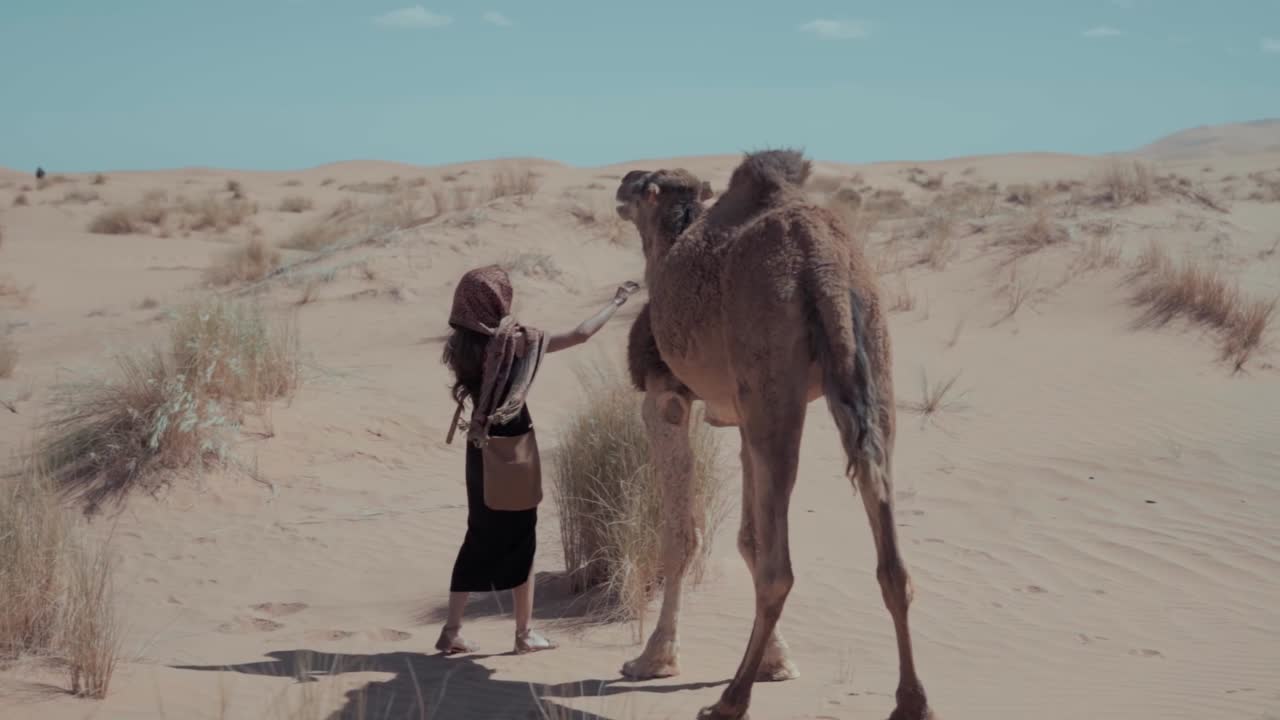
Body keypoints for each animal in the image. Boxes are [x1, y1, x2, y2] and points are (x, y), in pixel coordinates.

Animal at [614, 149, 935, 720]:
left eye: (645, 183)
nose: (621, 184)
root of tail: (821, 264)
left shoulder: (664, 396)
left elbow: (682, 533)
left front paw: (654, 658)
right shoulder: (742, 414)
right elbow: (748, 536)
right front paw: (776, 662)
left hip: (773, 367)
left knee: (778, 568)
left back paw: (729, 700)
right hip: (869, 360)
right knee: (888, 544)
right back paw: (912, 702)